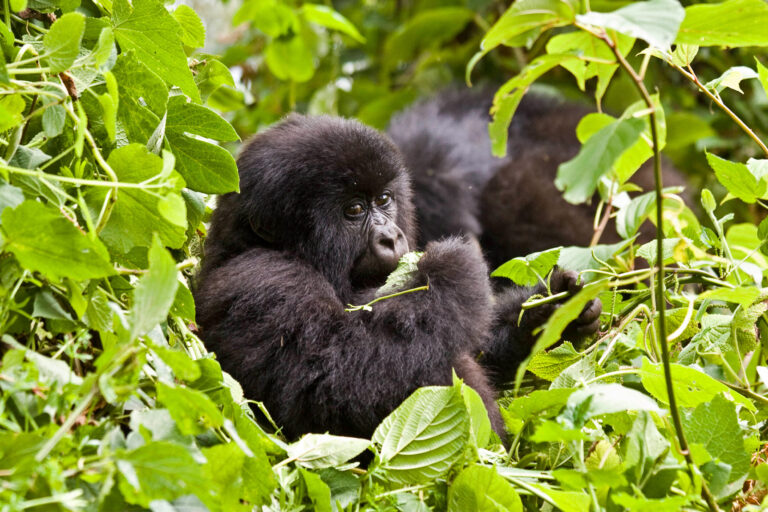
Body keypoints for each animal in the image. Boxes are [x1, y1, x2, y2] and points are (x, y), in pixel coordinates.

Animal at [195, 110, 604, 442]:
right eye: (354, 210)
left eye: (384, 200)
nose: (391, 237)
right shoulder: (263, 282)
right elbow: (334, 383)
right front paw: (452, 268)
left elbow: (475, 345)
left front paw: (553, 311)